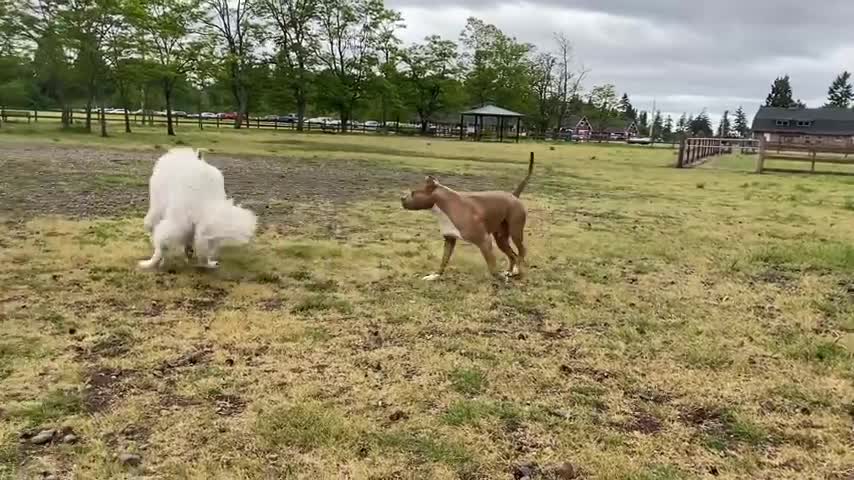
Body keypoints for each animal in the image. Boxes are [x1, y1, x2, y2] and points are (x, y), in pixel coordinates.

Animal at [402, 156, 536, 280]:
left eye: (413, 193)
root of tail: (513, 196)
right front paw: (435, 275)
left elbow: (492, 266)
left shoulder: (484, 241)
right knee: (512, 255)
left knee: (521, 251)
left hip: (515, 231)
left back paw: (517, 270)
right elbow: (443, 261)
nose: (401, 198)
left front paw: (499, 278)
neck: (445, 205)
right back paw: (510, 271)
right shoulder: (449, 240)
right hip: (501, 238)